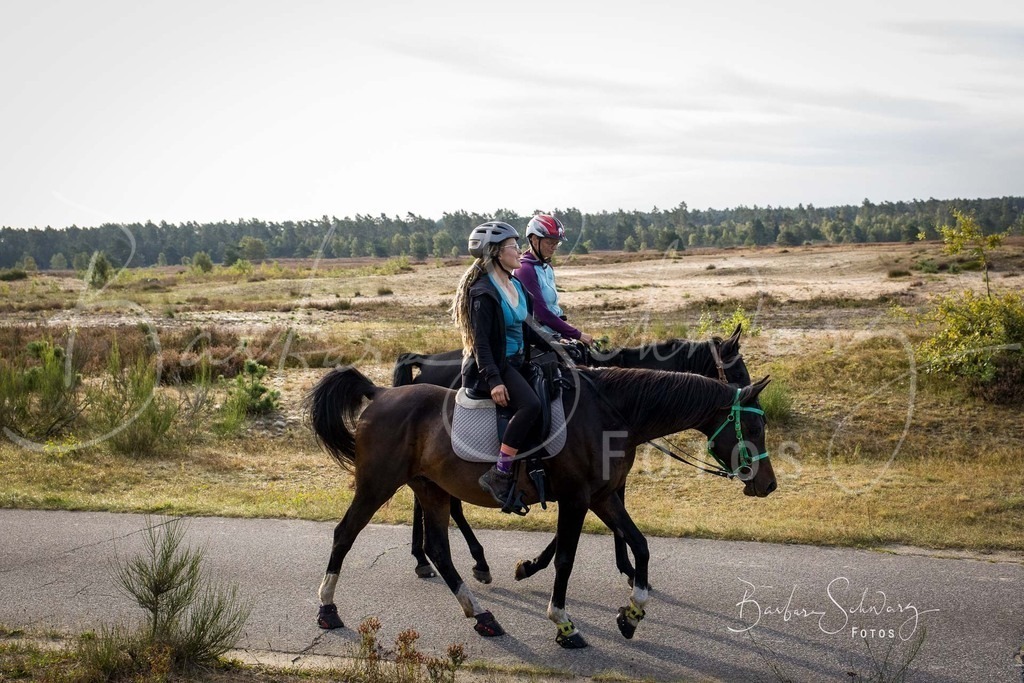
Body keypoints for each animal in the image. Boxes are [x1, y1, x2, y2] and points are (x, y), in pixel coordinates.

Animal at [307, 362, 775, 647]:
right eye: (753, 427)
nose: (768, 485)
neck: (610, 415)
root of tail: (381, 393)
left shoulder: (603, 496)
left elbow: (640, 546)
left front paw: (632, 613)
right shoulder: (577, 499)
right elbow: (566, 557)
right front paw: (563, 623)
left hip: (431, 489)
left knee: (439, 548)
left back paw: (481, 614)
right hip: (376, 484)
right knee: (345, 533)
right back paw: (327, 608)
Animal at [394, 326, 751, 585]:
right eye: (738, 373)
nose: (749, 397)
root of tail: (425, 362)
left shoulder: (602, 479)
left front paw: (626, 567)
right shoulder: (577, 481)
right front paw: (534, 565)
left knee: (431, 501)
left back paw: (426, 558)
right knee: (444, 504)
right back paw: (466, 559)